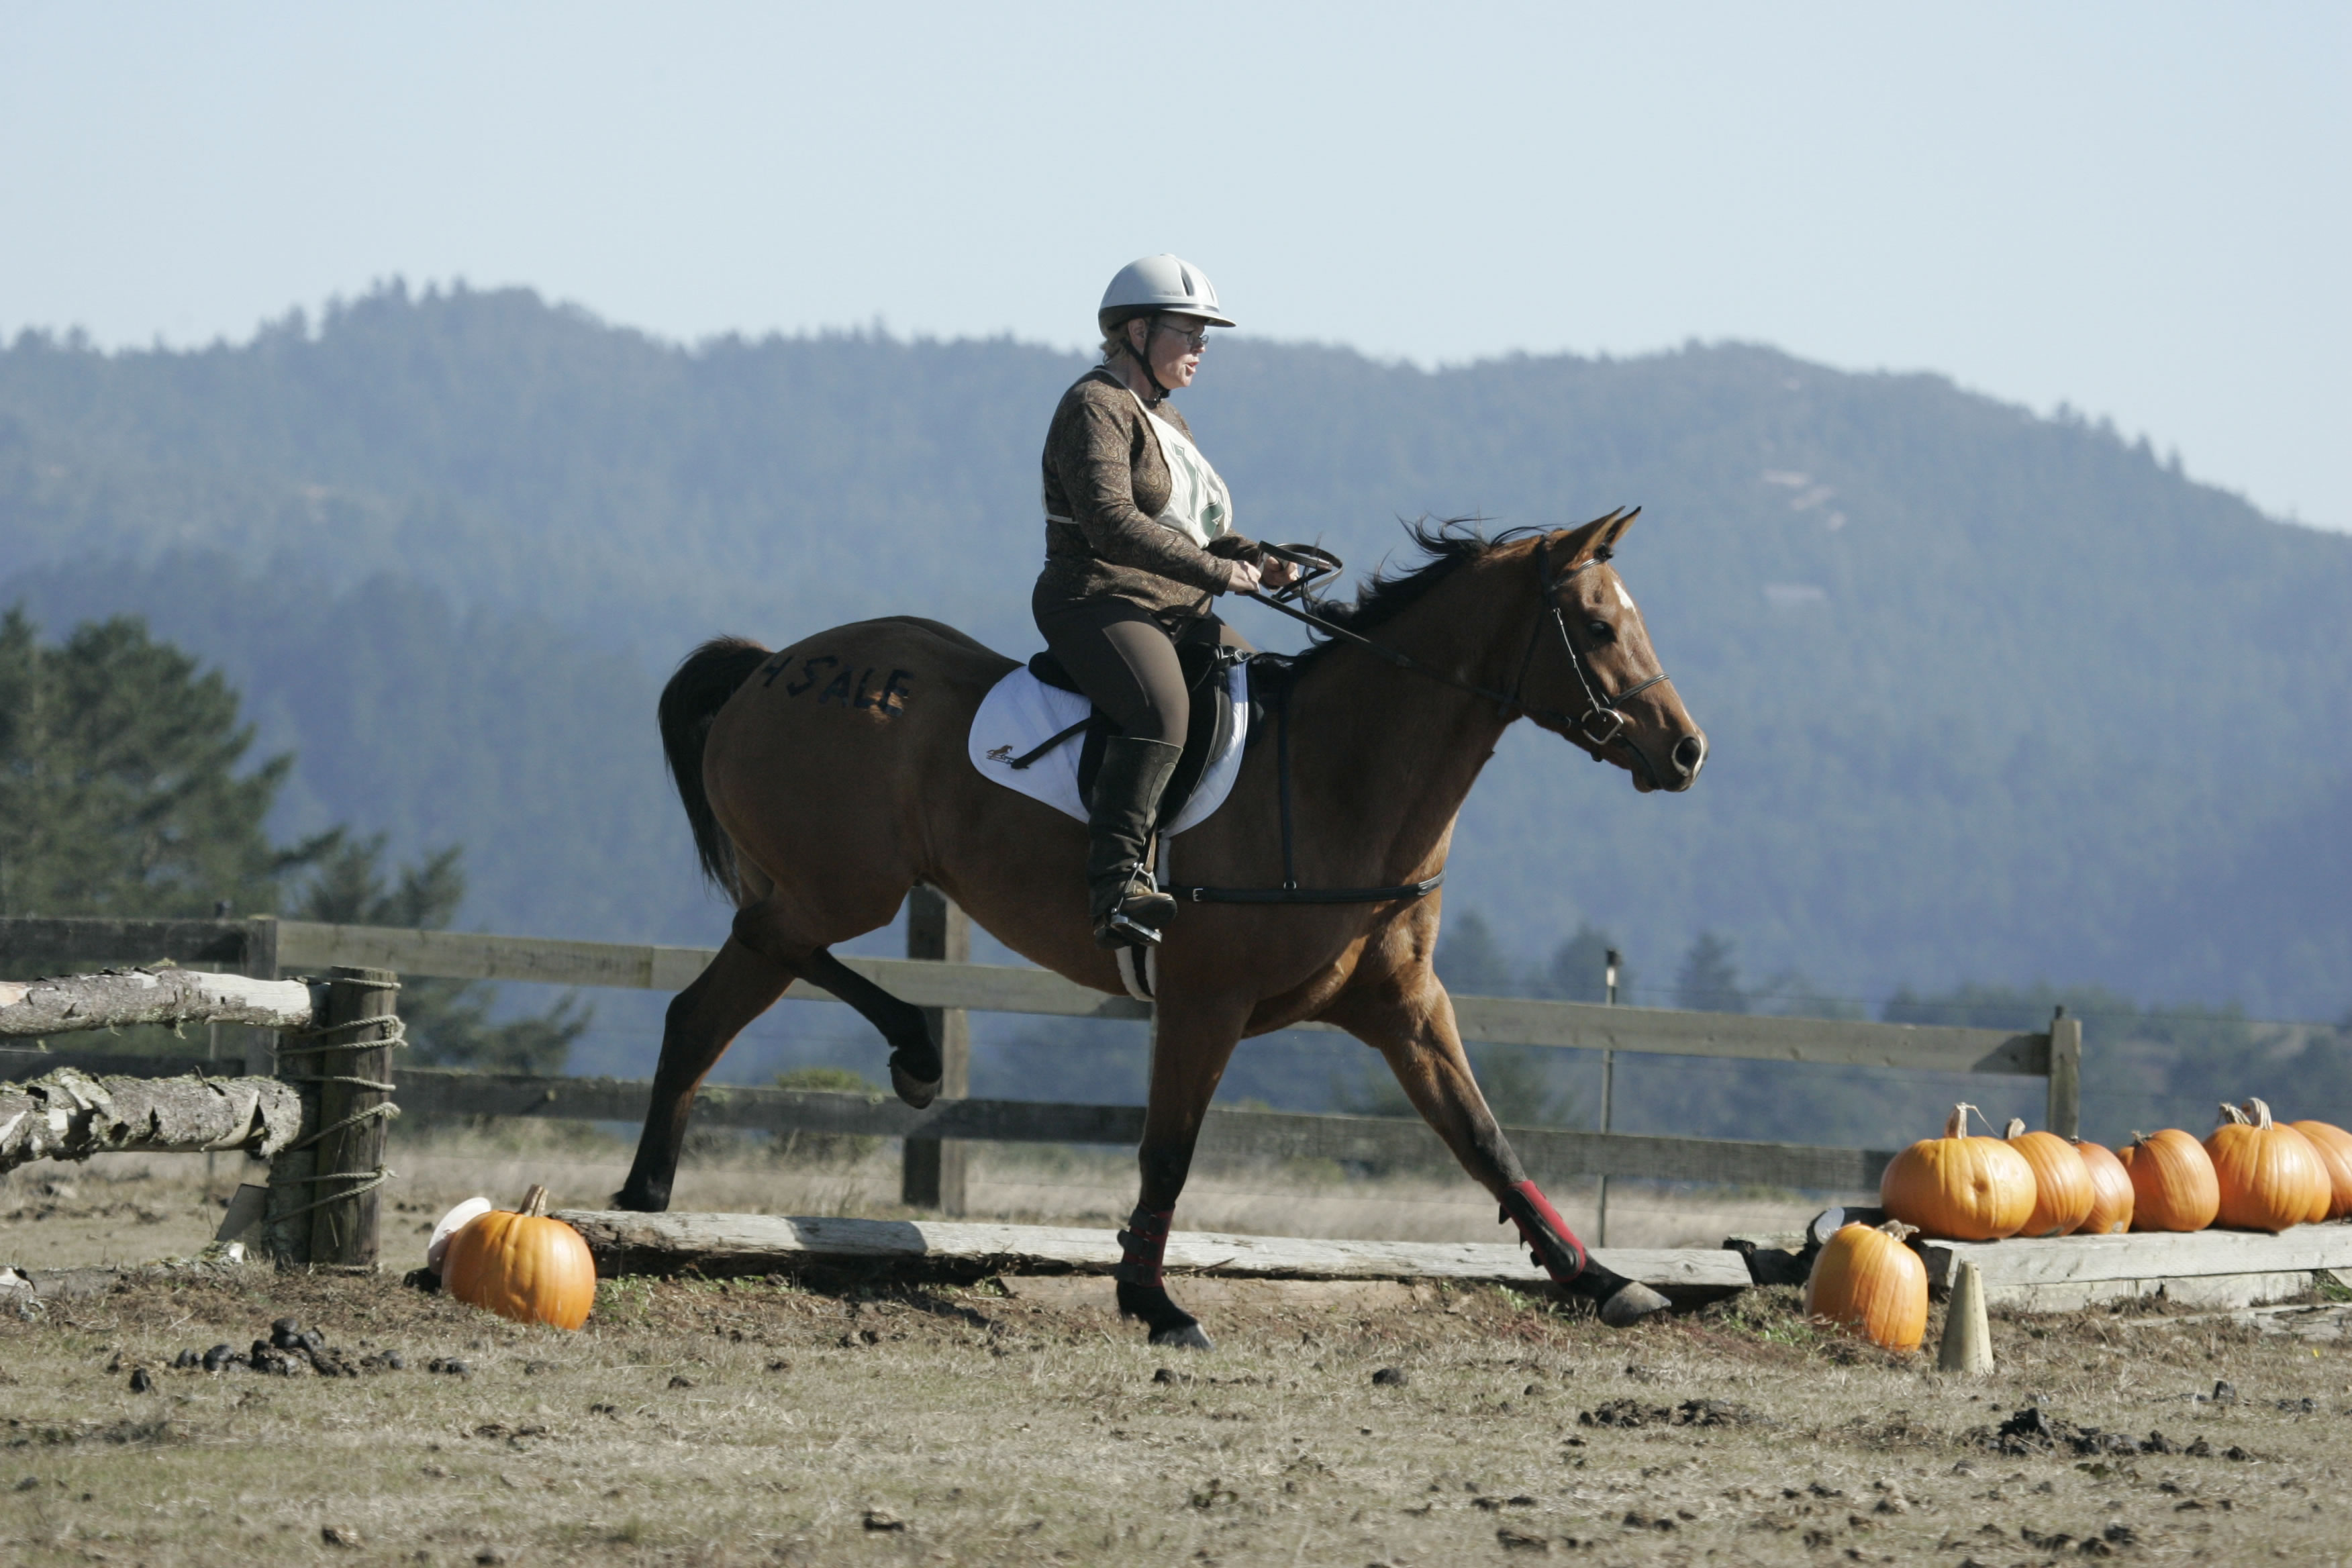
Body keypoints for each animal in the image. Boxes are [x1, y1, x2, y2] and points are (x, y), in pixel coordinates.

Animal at [618, 508, 1708, 1344]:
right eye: (1597, 628)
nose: (1687, 752)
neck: (1341, 778)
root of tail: (774, 666)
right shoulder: (1203, 1002)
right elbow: (1169, 1151)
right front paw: (1152, 1303)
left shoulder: (1403, 1005)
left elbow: (1486, 1138)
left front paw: (1602, 1279)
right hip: (842, 885)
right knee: (748, 965)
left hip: (829, 885)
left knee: (712, 1006)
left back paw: (655, 1196)